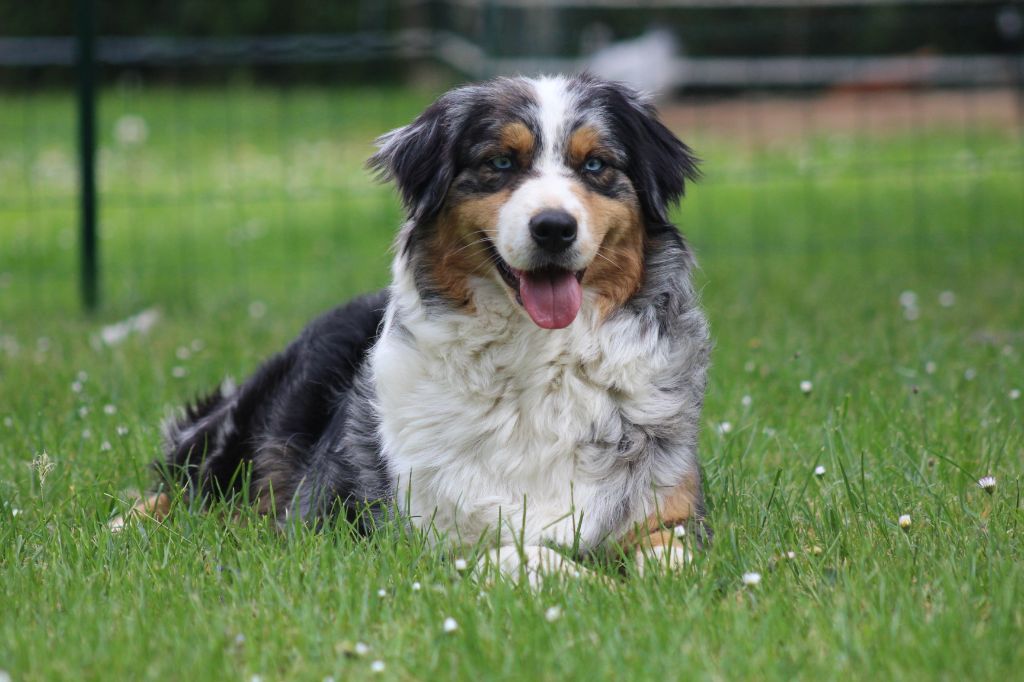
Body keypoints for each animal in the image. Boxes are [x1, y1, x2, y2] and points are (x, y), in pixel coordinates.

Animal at [118, 74, 711, 581]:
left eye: (595, 165)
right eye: (500, 162)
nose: (553, 228)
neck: (539, 360)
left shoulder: (670, 511)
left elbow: (676, 561)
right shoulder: (360, 530)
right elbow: (518, 550)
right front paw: (592, 583)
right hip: (247, 428)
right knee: (189, 490)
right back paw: (124, 526)